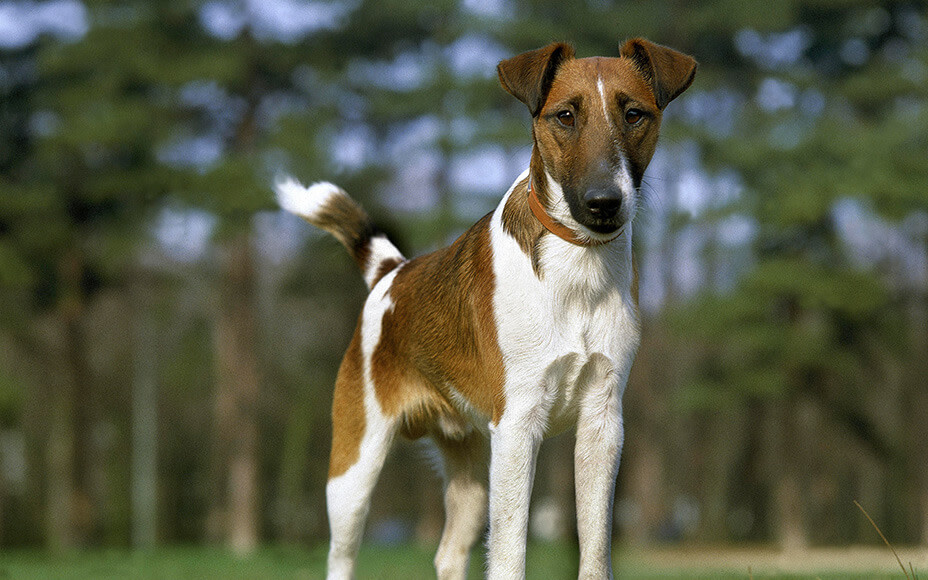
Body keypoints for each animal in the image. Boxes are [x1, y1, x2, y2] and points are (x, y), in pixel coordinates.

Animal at [276, 37, 696, 580]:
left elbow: (595, 548)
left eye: (634, 114)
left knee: (449, 553)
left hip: (472, 475)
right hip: (354, 469)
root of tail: (393, 272)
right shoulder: (518, 426)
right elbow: (511, 552)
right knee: (342, 556)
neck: (577, 267)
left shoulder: (602, 425)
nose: (603, 202)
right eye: (565, 116)